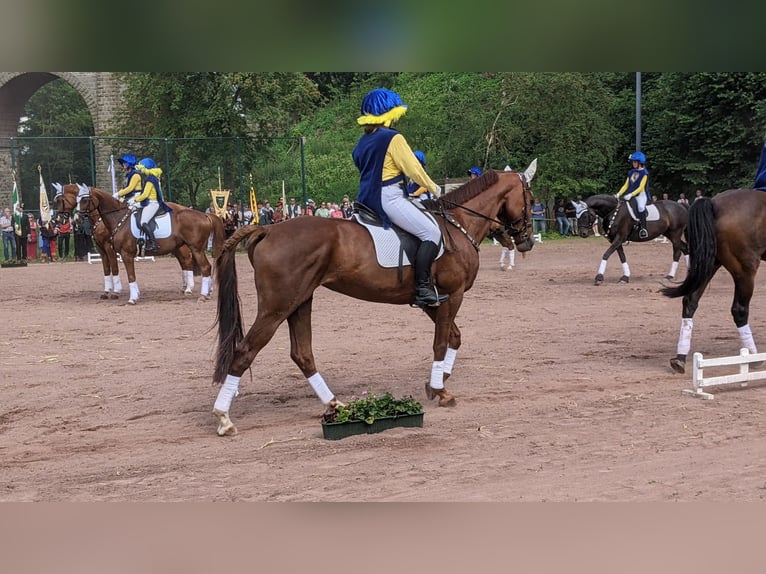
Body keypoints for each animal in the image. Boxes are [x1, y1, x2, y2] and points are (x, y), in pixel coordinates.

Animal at [73, 189, 226, 306]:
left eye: (85, 200)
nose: (77, 219)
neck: (119, 218)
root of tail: (205, 215)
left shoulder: (125, 253)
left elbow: (130, 275)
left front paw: (132, 298)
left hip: (196, 249)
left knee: (204, 267)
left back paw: (202, 295)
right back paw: (204, 292)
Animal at [207, 162, 536, 436]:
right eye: (530, 200)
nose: (526, 242)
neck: (458, 224)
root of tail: (267, 228)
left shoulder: (433, 301)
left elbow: (453, 337)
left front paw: (437, 380)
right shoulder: (451, 296)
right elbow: (442, 342)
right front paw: (441, 390)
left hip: (299, 302)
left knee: (302, 354)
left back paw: (336, 405)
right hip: (276, 307)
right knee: (246, 350)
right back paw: (224, 417)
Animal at [660, 191, 766, 376]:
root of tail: (714, 203)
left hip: (710, 262)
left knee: (690, 300)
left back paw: (680, 358)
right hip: (744, 270)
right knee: (739, 310)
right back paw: (753, 358)